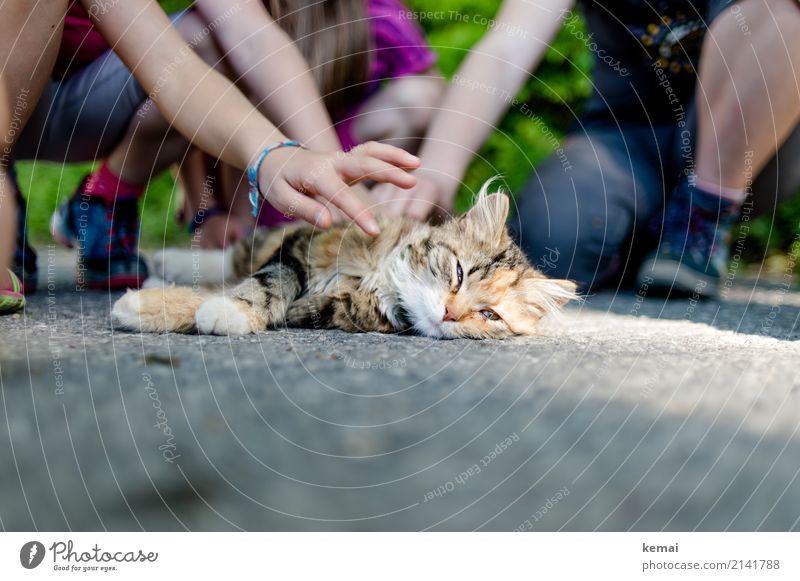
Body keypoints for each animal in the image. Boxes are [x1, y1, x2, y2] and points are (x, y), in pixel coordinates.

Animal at [111, 182, 576, 340]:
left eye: (489, 315)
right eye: (459, 273)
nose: (449, 314)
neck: (376, 278)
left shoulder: (320, 310)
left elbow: (260, 294)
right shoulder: (304, 244)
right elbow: (267, 280)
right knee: (229, 259)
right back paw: (160, 264)